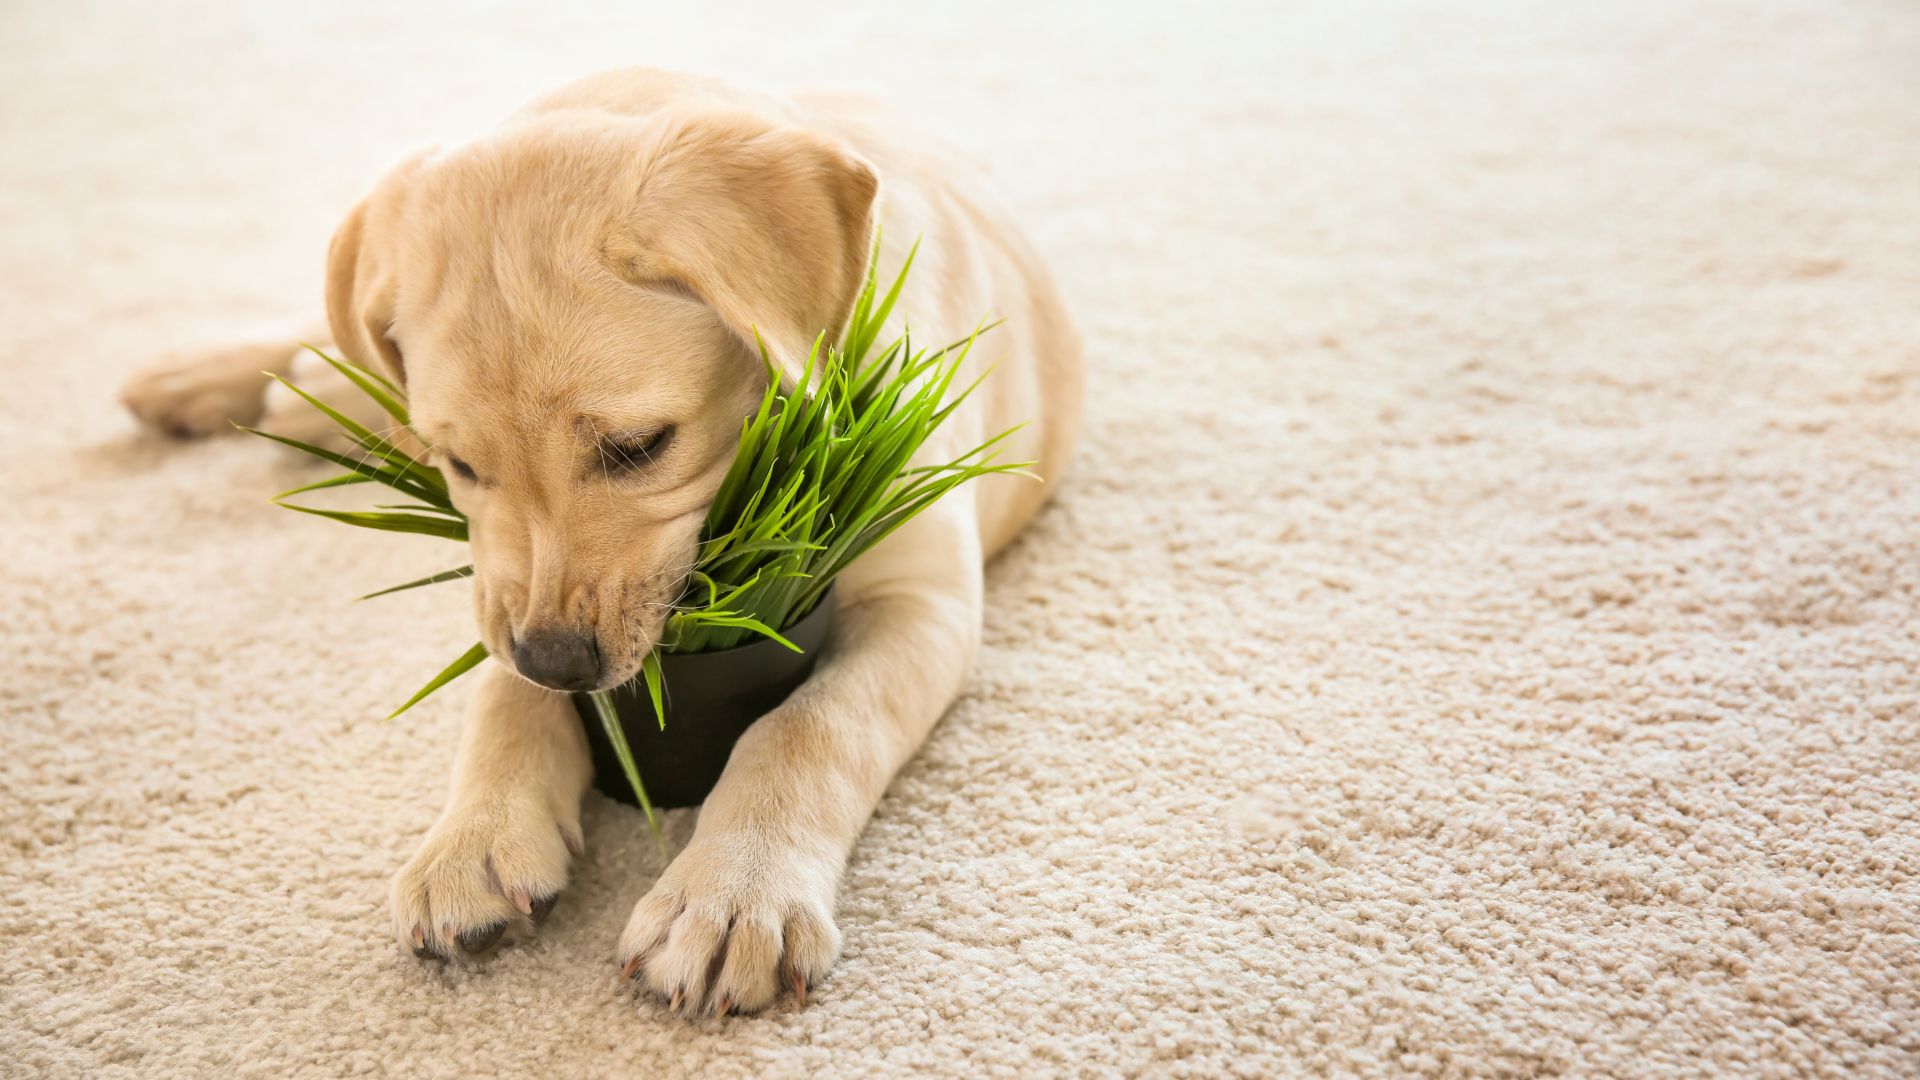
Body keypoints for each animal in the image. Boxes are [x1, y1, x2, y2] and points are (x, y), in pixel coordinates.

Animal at [116, 71, 1082, 1014]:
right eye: (461, 465)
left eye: (639, 447)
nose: (558, 662)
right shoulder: (500, 584)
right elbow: (499, 694)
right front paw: (474, 838)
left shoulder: (922, 599)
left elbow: (808, 726)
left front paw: (733, 893)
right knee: (337, 338)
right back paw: (212, 379)